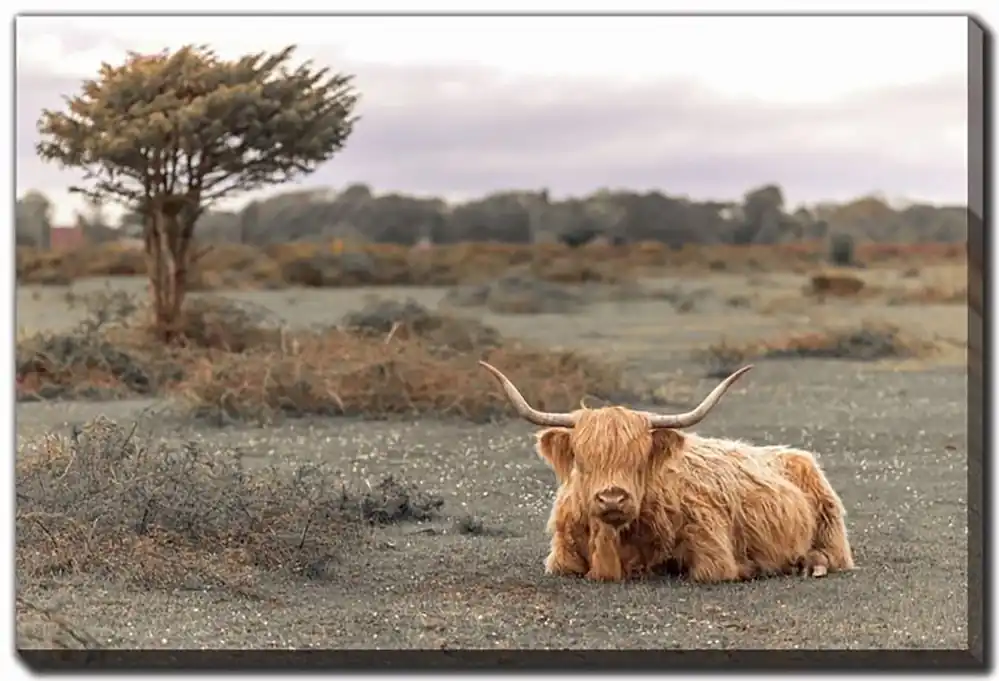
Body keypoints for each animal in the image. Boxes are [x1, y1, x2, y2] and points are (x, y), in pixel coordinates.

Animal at [479, 361, 854, 583]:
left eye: (639, 459)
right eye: (583, 459)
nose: (612, 498)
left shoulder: (712, 549)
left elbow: (709, 571)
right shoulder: (560, 556)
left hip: (829, 523)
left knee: (833, 556)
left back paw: (808, 564)